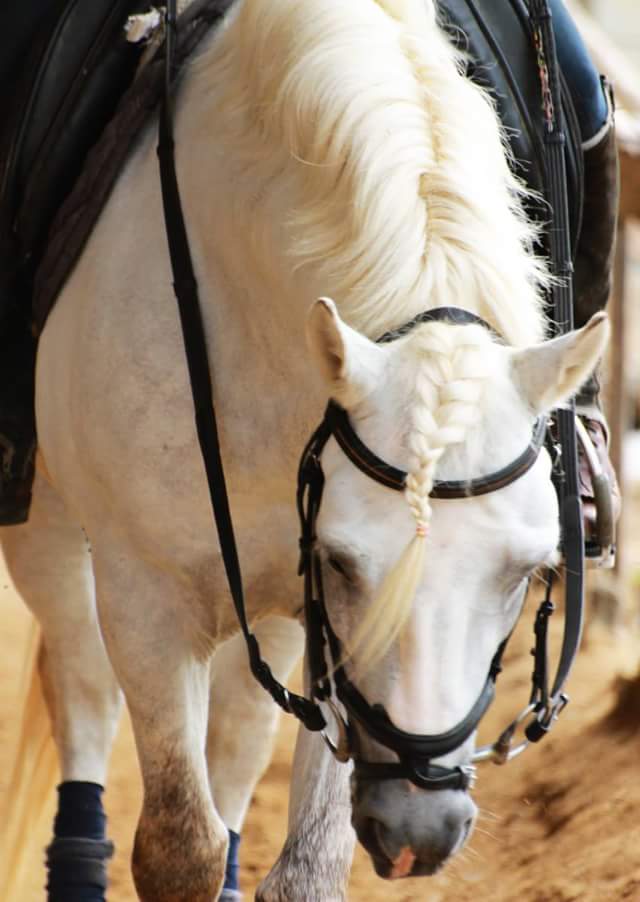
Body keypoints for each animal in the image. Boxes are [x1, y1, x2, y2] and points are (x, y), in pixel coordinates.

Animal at [0, 0, 609, 899]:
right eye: (343, 561)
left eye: (528, 573)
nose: (417, 827)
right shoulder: (149, 598)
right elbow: (178, 846)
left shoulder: (318, 625)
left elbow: (306, 865)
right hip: (49, 520)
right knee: (80, 682)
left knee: (238, 732)